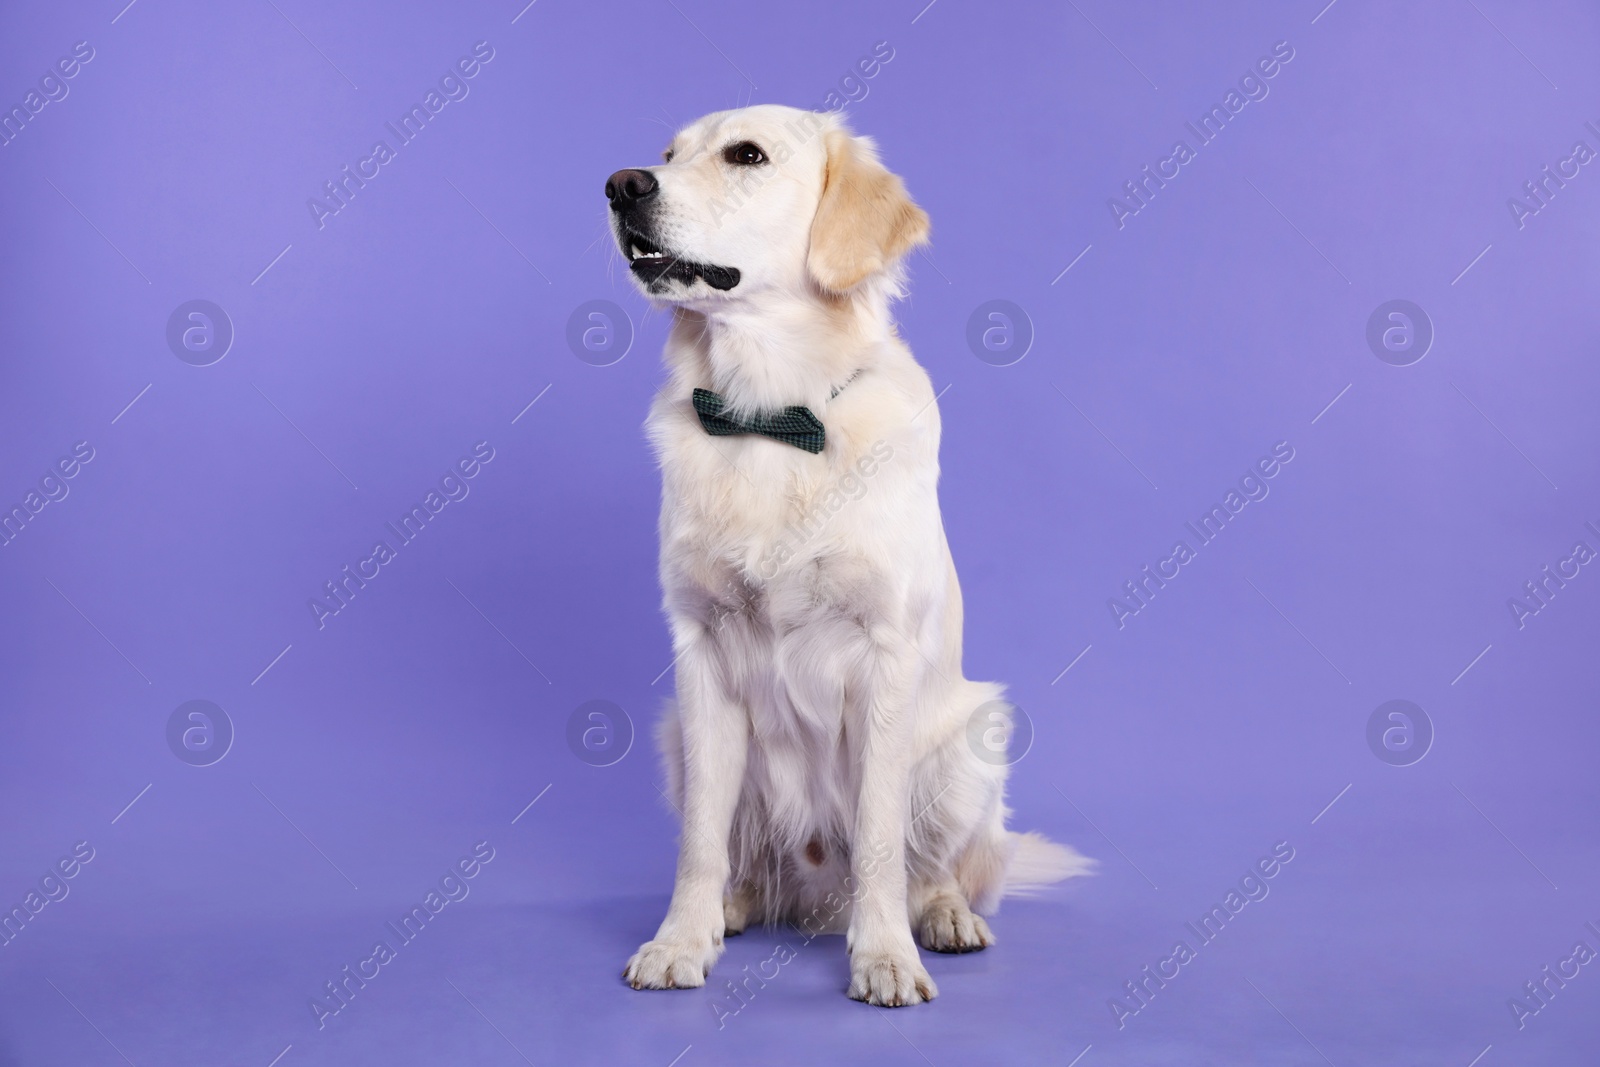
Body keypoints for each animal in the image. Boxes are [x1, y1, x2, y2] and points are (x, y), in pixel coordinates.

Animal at [604, 103, 1094, 1004]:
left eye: (747, 156)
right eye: (668, 153)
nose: (622, 185)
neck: (769, 416)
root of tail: (814, 898)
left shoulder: (884, 655)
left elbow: (877, 840)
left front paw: (885, 956)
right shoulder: (701, 652)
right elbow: (699, 842)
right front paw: (679, 940)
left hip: (973, 741)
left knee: (934, 868)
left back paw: (942, 918)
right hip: (676, 738)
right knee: (746, 860)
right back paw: (734, 907)